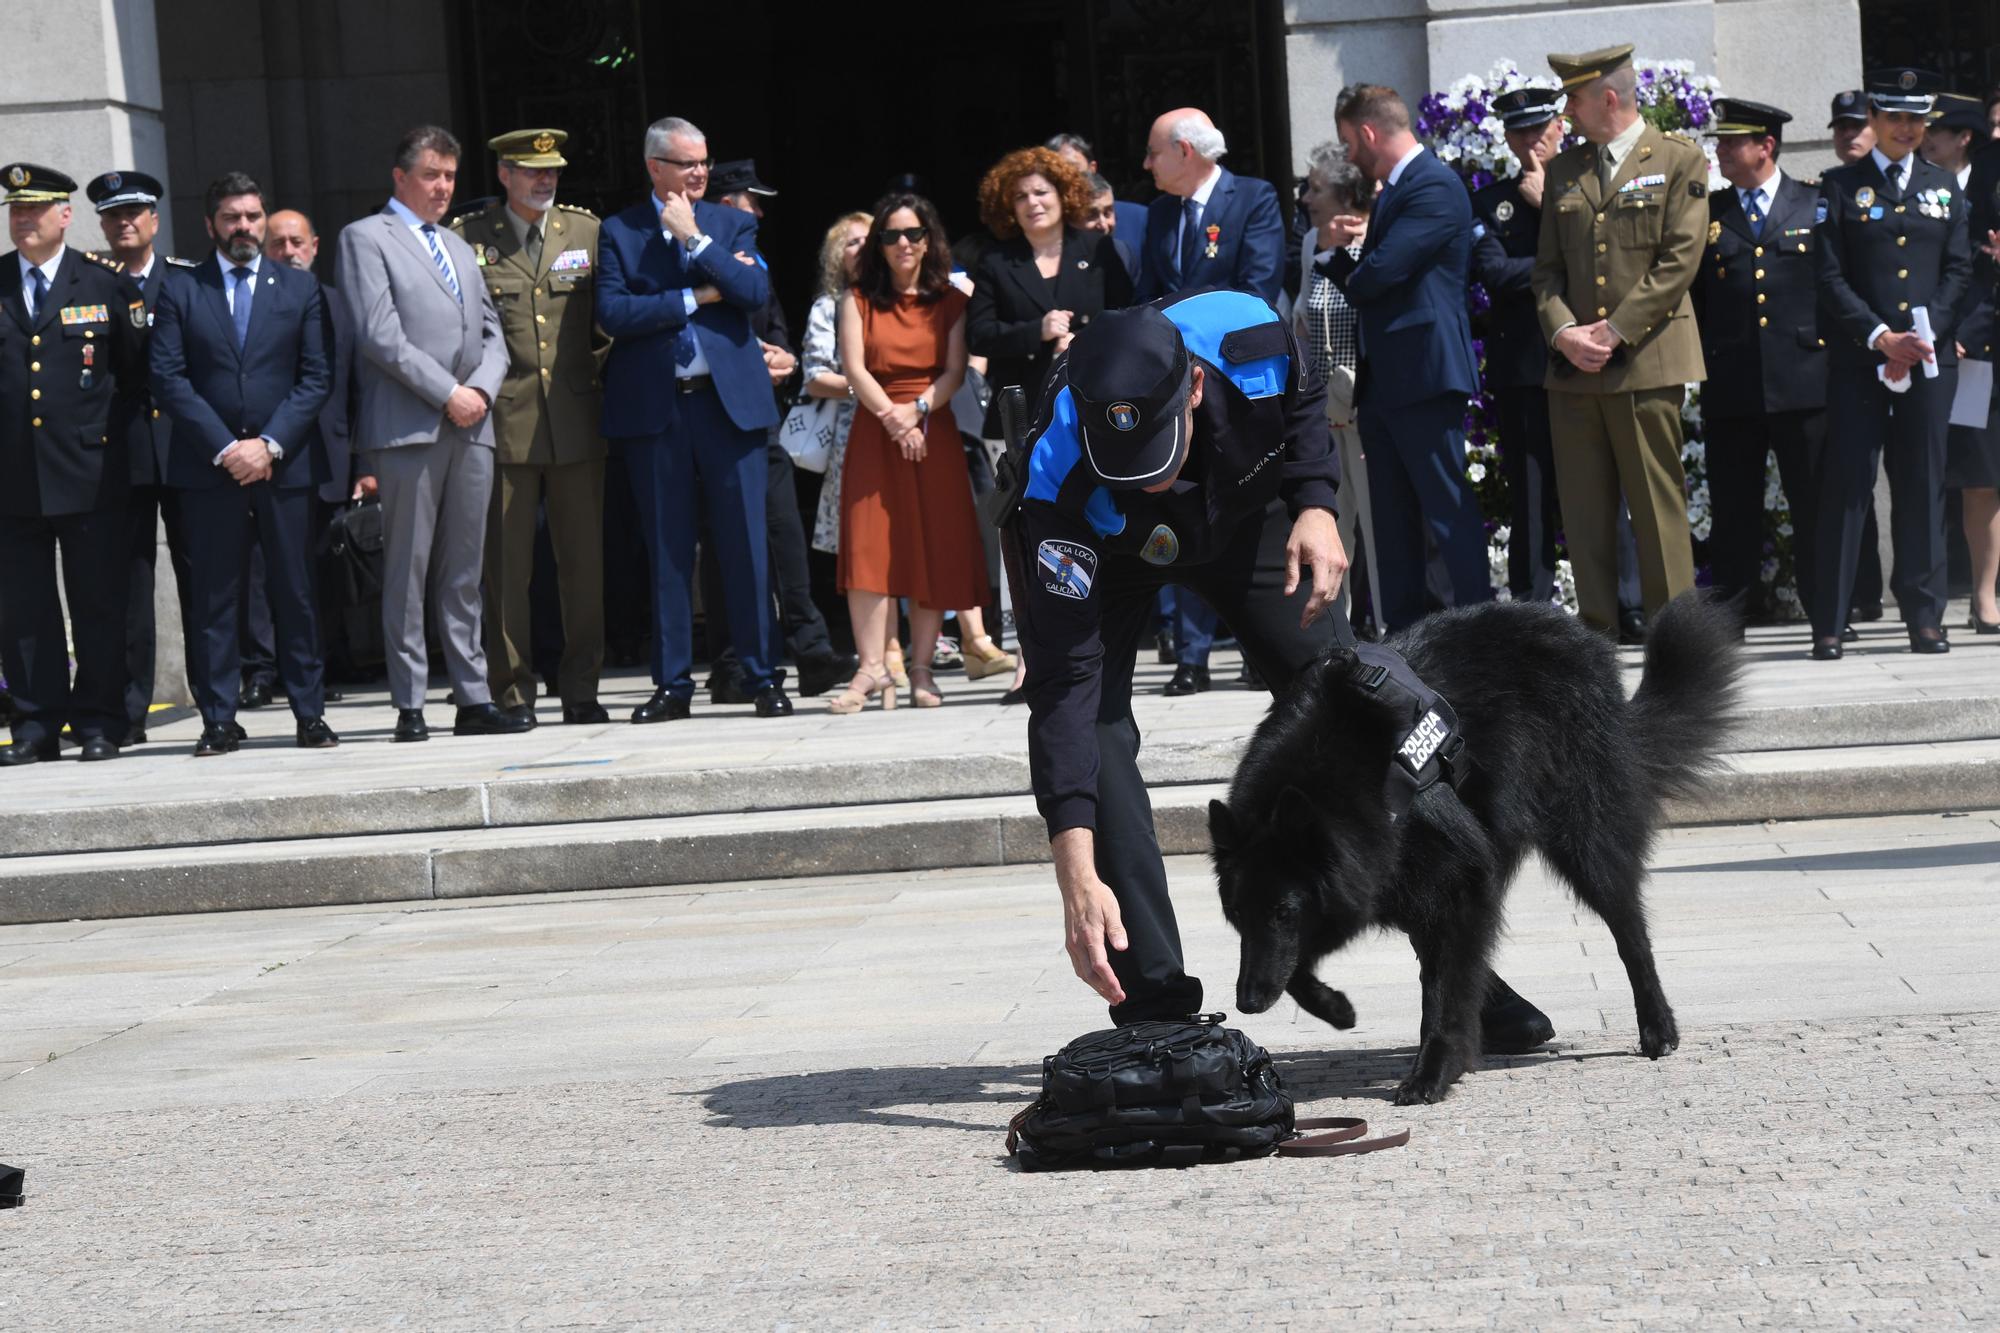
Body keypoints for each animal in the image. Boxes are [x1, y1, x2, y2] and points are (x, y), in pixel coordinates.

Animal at [1208, 592, 1744, 1096]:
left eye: (1283, 912)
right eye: (1235, 916)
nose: (1245, 1003)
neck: (1348, 776)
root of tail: (1580, 634)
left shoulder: (1454, 881)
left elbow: (1445, 986)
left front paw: (1434, 1069)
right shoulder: (1380, 885)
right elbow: (1304, 963)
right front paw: (1336, 1008)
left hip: (1586, 843)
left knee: (1630, 932)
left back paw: (1658, 1027)